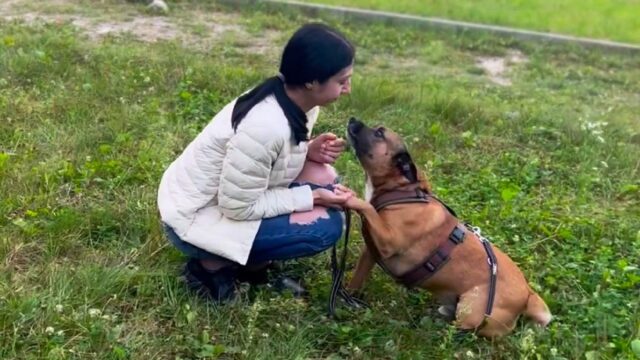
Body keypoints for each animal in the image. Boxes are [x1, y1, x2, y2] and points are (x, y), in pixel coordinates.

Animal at [344, 118, 552, 338]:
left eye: (379, 133)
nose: (353, 119)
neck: (403, 190)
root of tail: (528, 295)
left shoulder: (388, 239)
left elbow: (366, 207)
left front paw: (350, 198)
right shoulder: (370, 250)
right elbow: (357, 278)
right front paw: (348, 296)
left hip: (471, 309)